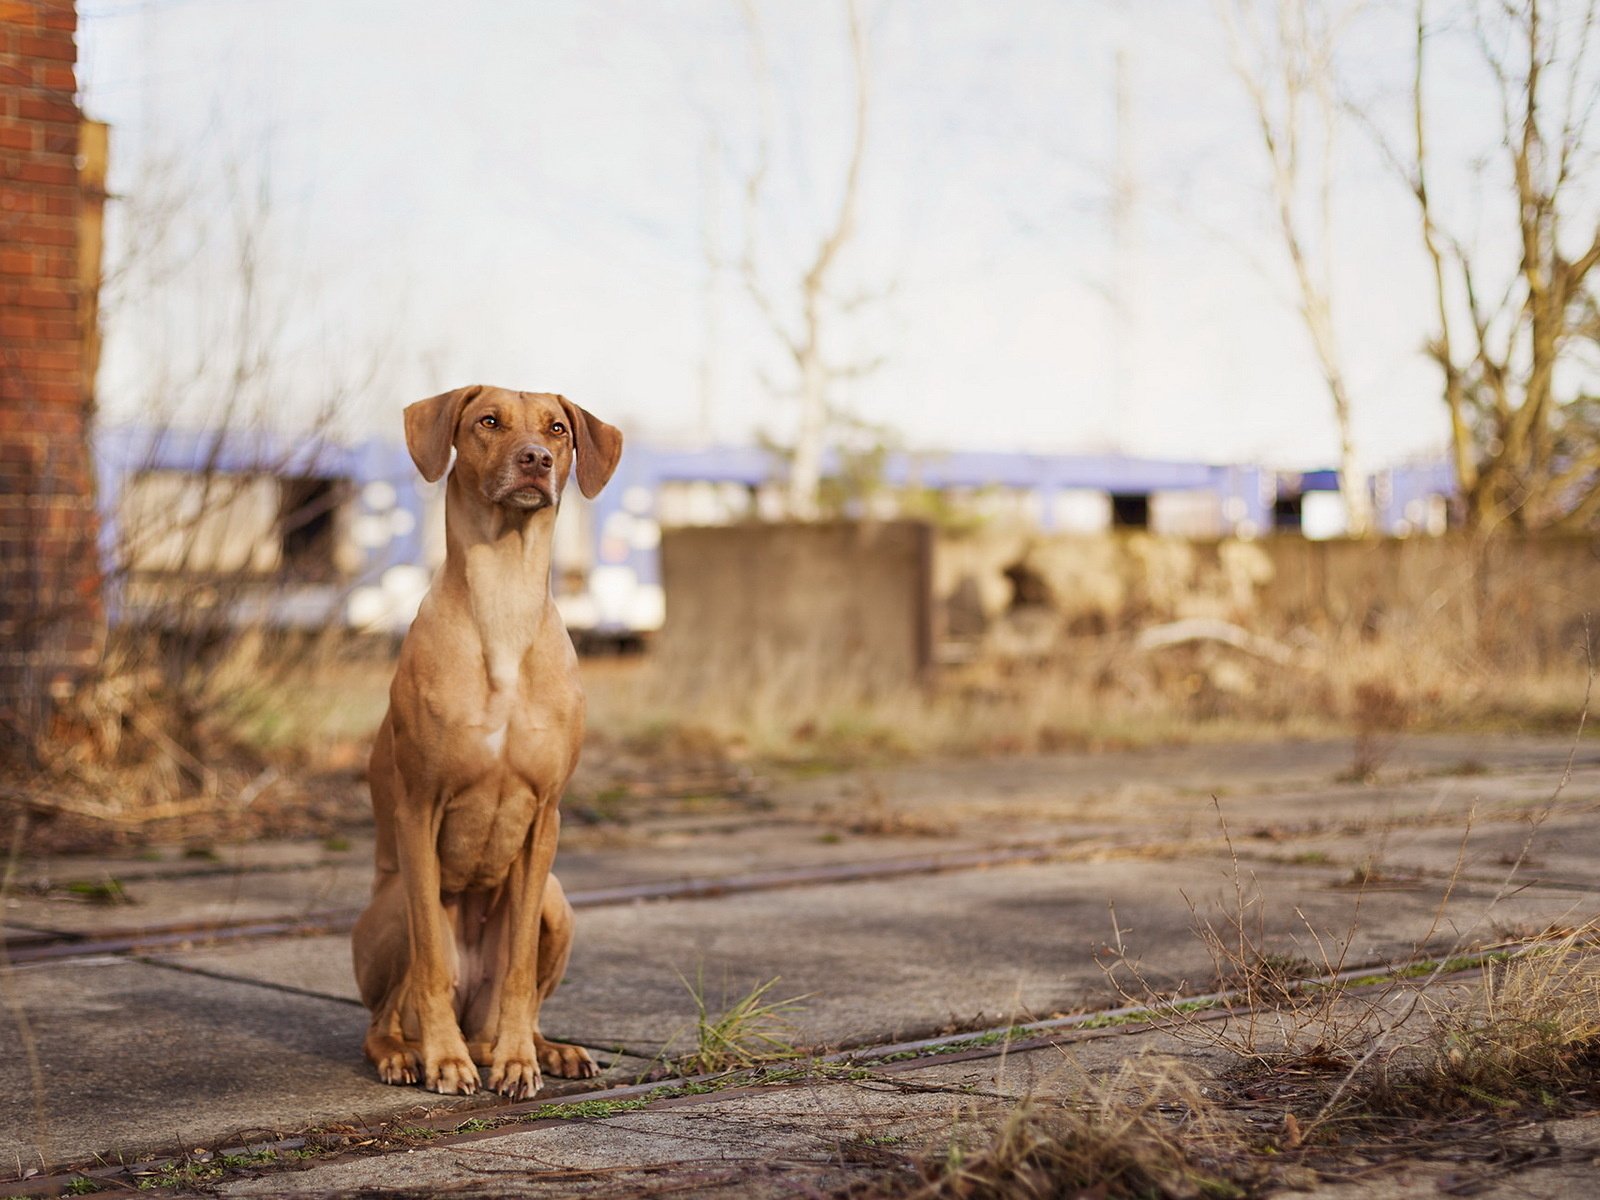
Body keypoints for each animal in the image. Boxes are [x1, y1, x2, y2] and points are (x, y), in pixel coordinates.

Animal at [353, 382, 620, 1100]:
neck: (504, 603)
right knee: (387, 1013)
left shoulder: (545, 816)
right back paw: (410, 1053)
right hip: (392, 905)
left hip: (556, 899)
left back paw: (539, 1047)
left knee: (513, 1001)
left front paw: (519, 1062)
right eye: (488, 422)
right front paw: (444, 1061)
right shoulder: (419, 809)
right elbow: (430, 964)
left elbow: (521, 970)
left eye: (557, 429)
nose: (535, 460)